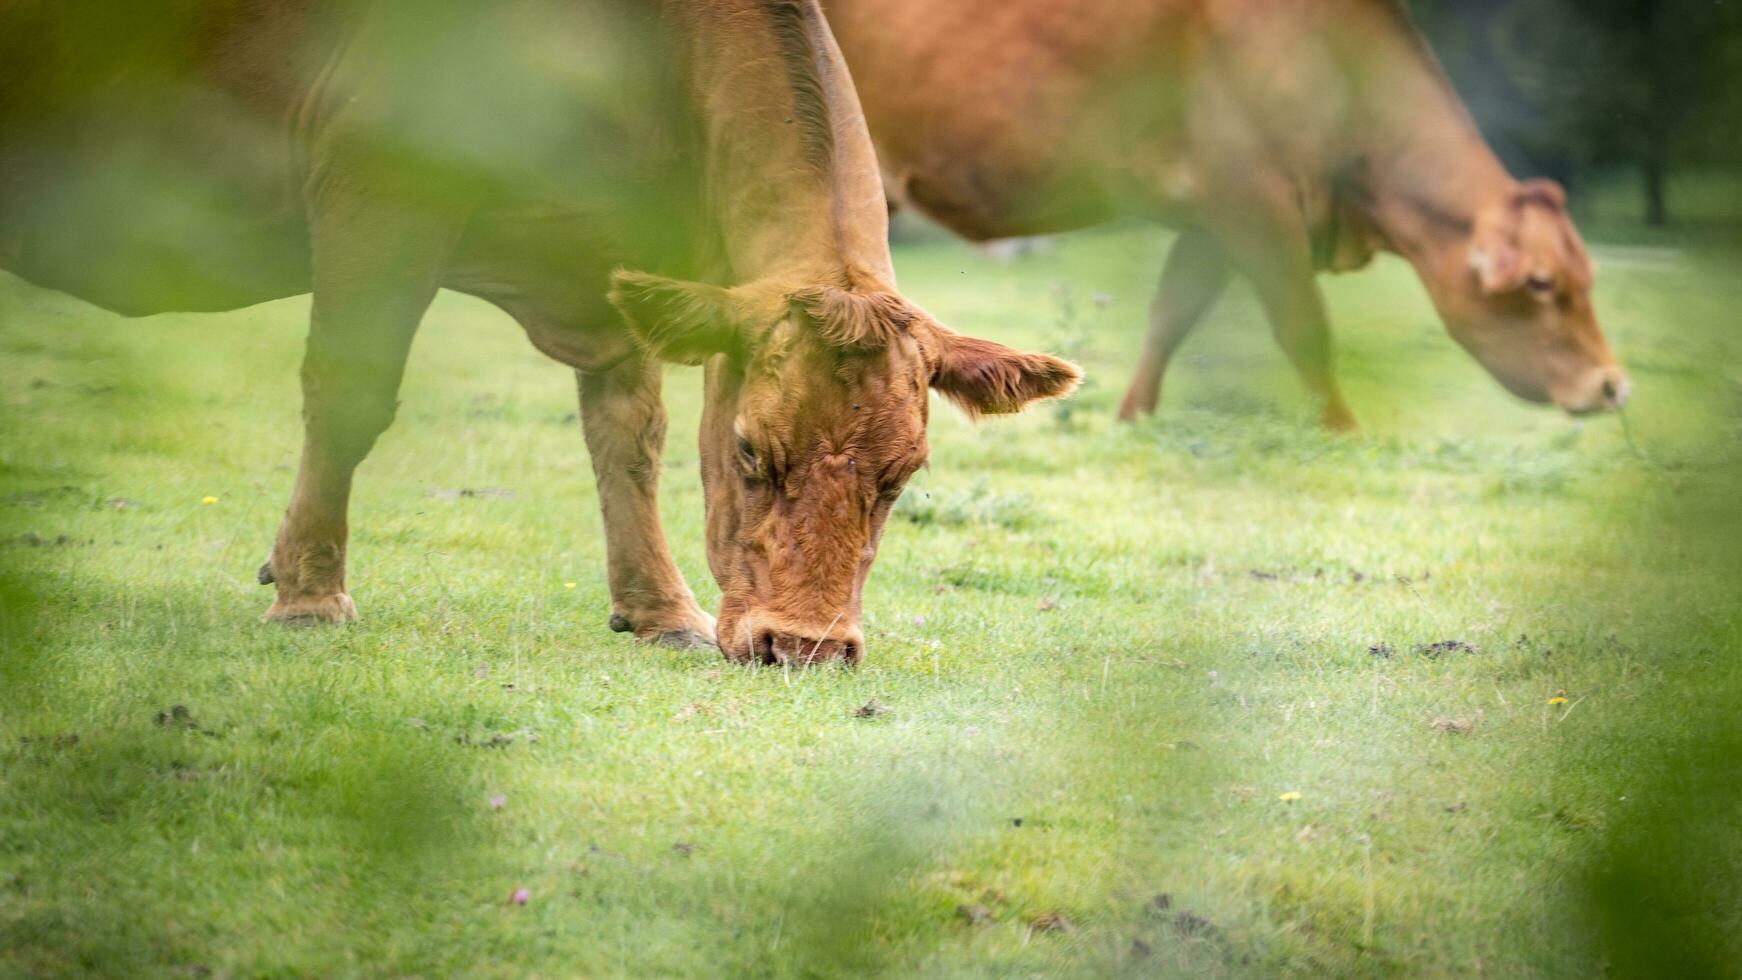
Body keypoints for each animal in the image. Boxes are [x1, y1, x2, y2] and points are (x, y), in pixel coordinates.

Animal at [0, 0, 1073, 668]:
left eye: (903, 475)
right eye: (747, 452)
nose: (805, 647)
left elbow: (627, 435)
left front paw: (659, 611)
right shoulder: (379, 188)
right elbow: (349, 396)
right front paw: (308, 592)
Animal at [822, 0, 1623, 429]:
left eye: (1589, 275)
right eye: (1542, 283)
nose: (1613, 385)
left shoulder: (1211, 221)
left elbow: (1170, 317)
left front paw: (1131, 418)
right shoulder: (1254, 200)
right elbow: (1306, 330)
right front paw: (1343, 429)